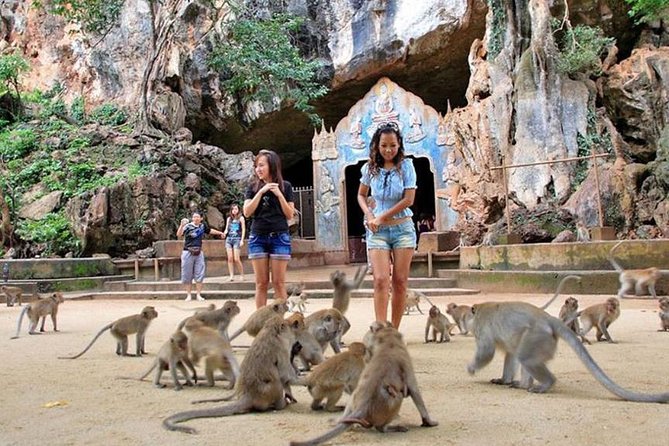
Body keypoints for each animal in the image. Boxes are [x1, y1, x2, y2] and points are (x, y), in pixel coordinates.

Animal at [162, 316, 298, 434]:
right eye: (287, 326)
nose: (292, 329)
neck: (270, 332)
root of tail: (247, 396)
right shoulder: (282, 348)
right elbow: (285, 375)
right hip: (268, 392)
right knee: (277, 382)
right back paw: (281, 405)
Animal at [288, 324, 438, 446]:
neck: (389, 345)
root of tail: (362, 407)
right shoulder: (406, 362)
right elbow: (415, 391)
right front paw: (428, 422)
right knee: (397, 397)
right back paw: (386, 428)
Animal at [464, 300, 668, 400]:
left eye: (466, 315)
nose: (465, 324)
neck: (479, 311)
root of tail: (548, 319)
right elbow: (511, 354)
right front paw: (503, 380)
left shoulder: (482, 327)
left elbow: (487, 351)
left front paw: (471, 368)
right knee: (523, 356)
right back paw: (523, 384)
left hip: (538, 336)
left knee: (527, 358)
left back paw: (546, 384)